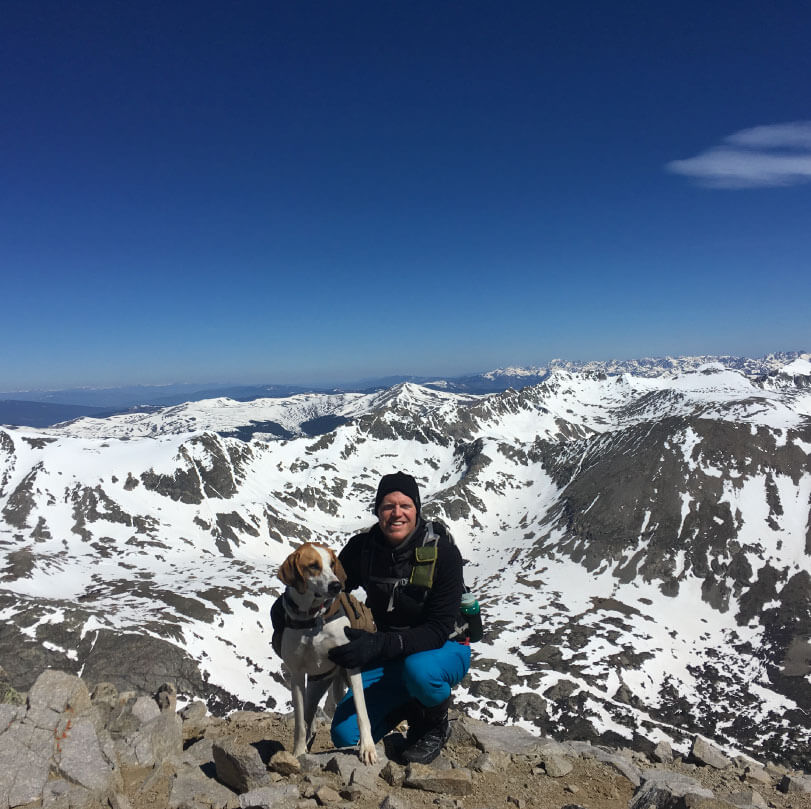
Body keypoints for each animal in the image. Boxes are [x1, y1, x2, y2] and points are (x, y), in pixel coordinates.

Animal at [276, 544, 378, 764]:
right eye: (313, 566)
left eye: (332, 564)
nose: (336, 586)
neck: (314, 620)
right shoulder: (297, 674)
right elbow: (300, 722)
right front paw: (299, 752)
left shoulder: (352, 663)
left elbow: (362, 711)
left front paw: (367, 748)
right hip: (317, 685)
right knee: (309, 713)